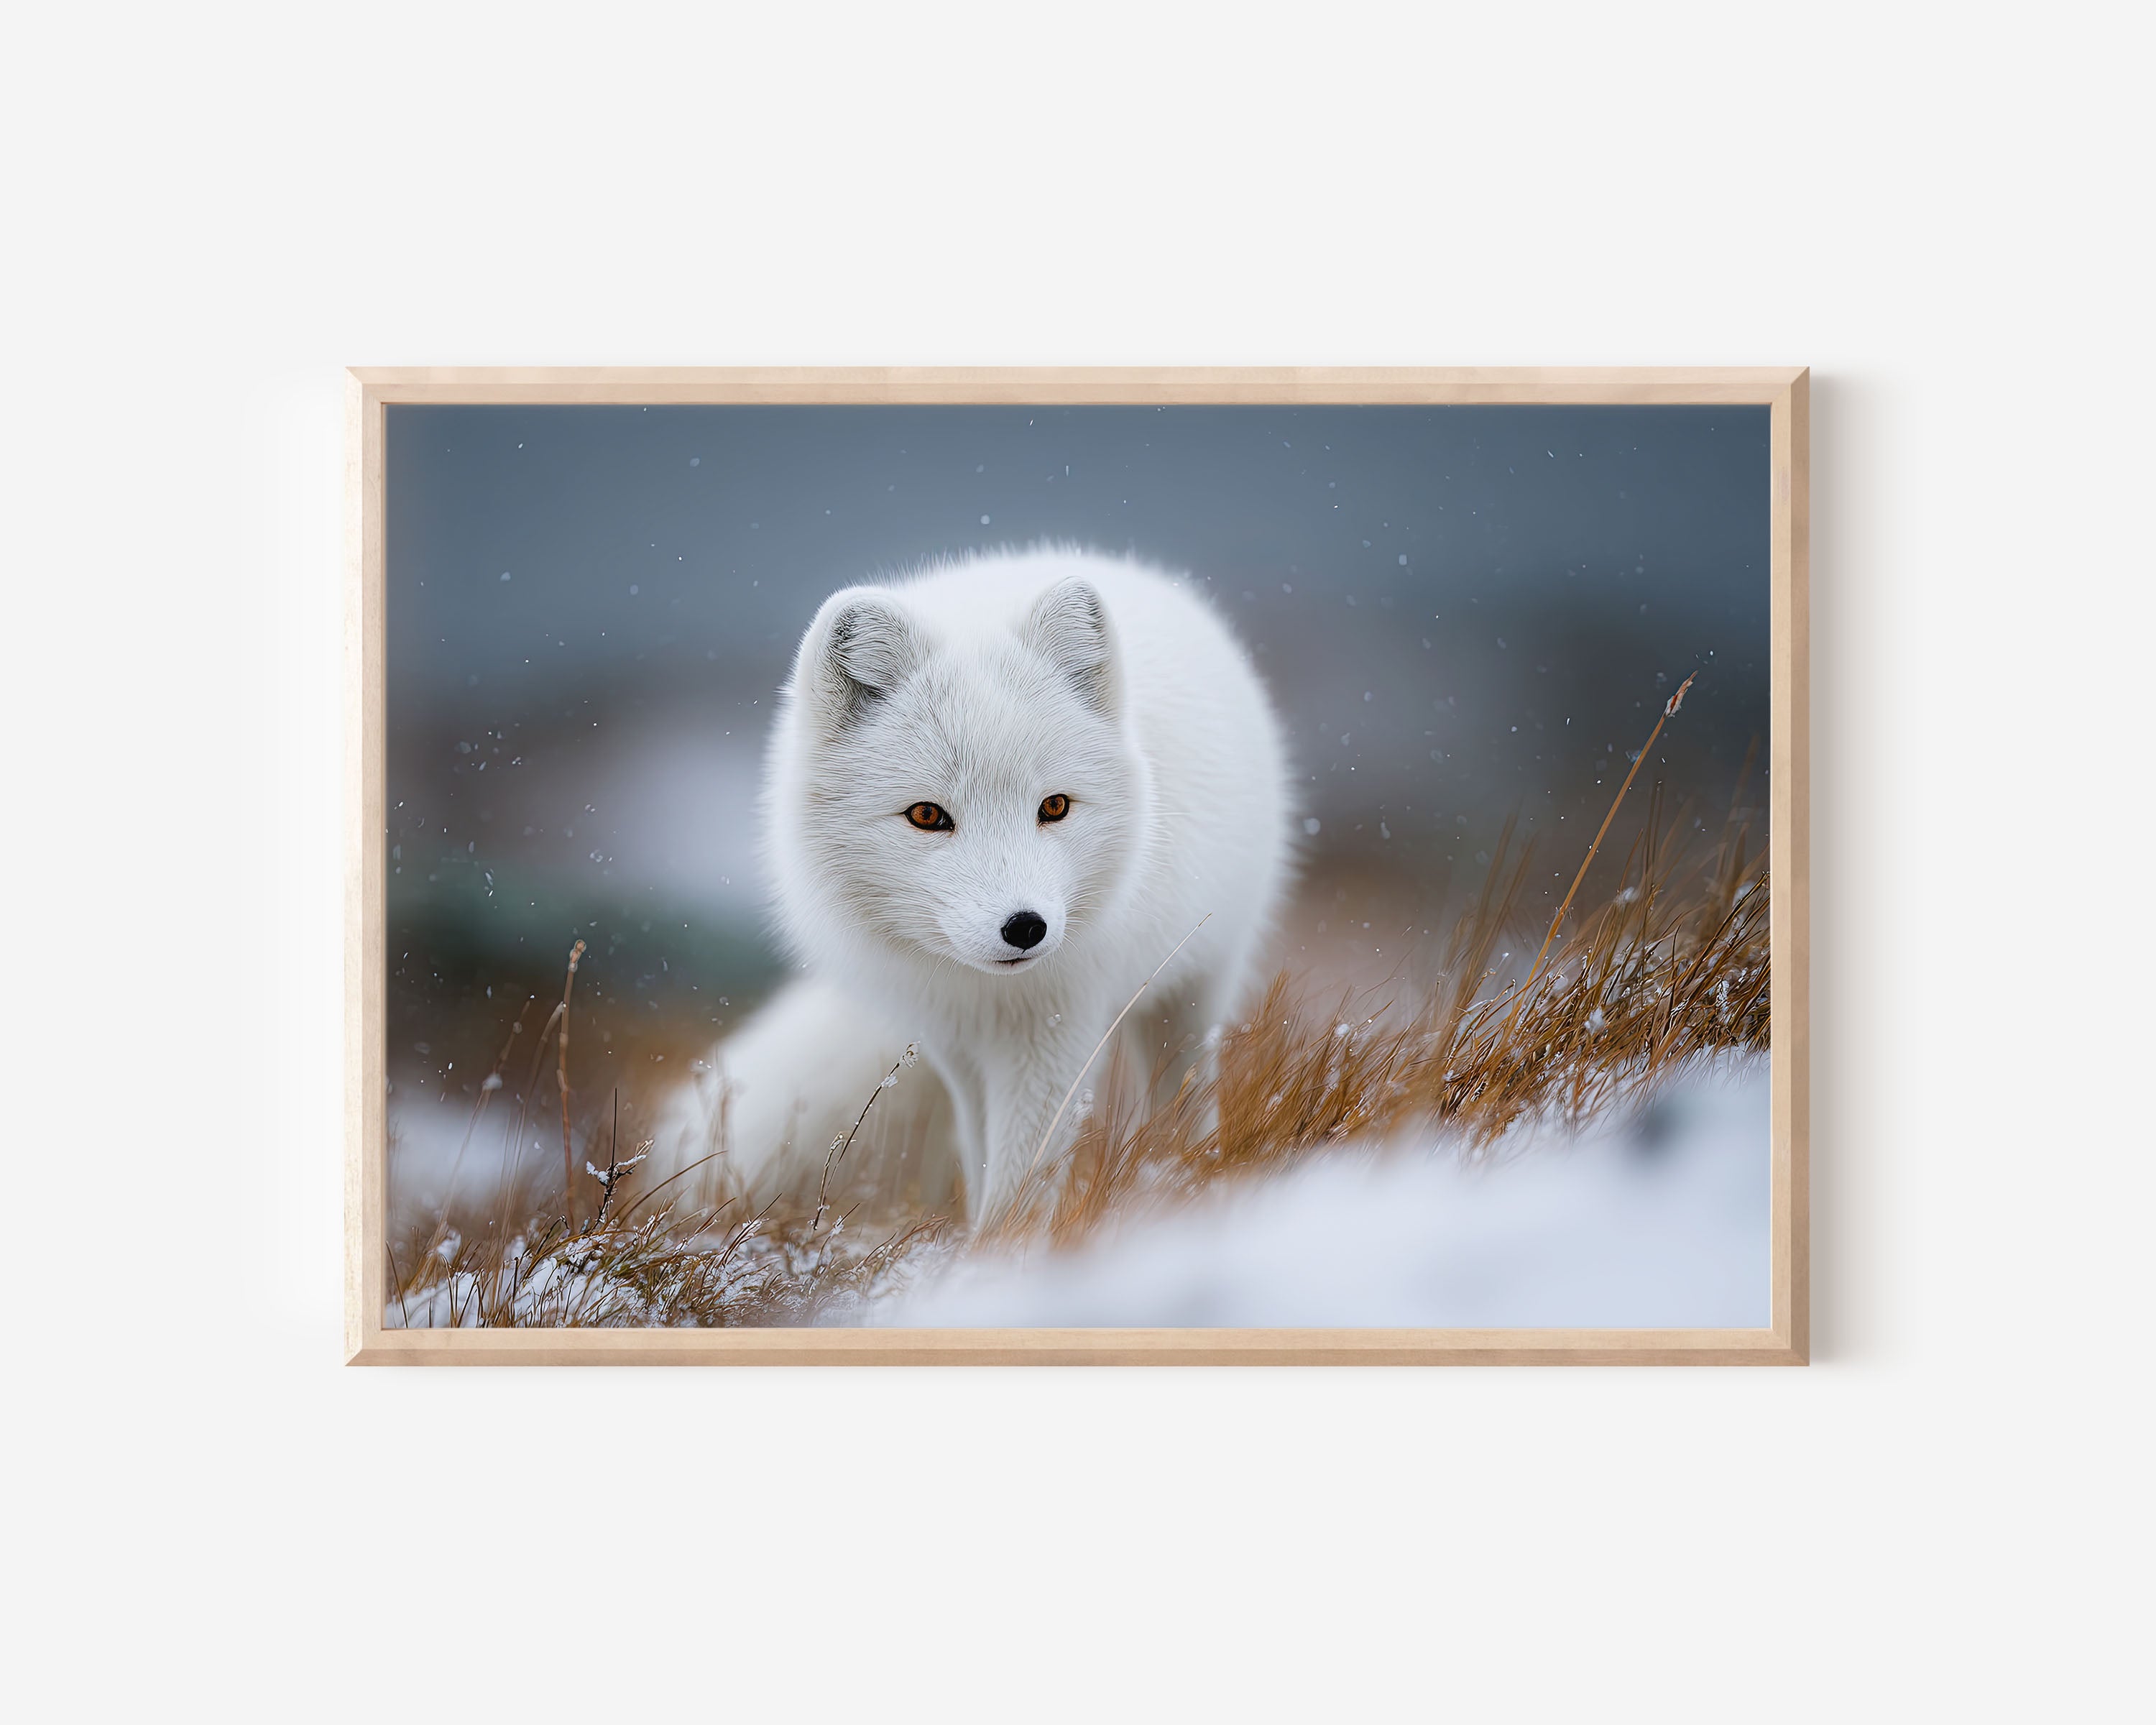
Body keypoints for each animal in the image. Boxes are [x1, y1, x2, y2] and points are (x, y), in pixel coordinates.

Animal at [654, 546, 1293, 1227]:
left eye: (1055, 807)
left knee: (1188, 1087)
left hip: (1199, 980)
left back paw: (1183, 1172)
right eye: (927, 815)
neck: (990, 996)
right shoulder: (954, 1043)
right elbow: (985, 1156)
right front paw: (980, 1241)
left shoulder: (1057, 1031)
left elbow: (1021, 1181)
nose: (1026, 927)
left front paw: (1006, 1247)